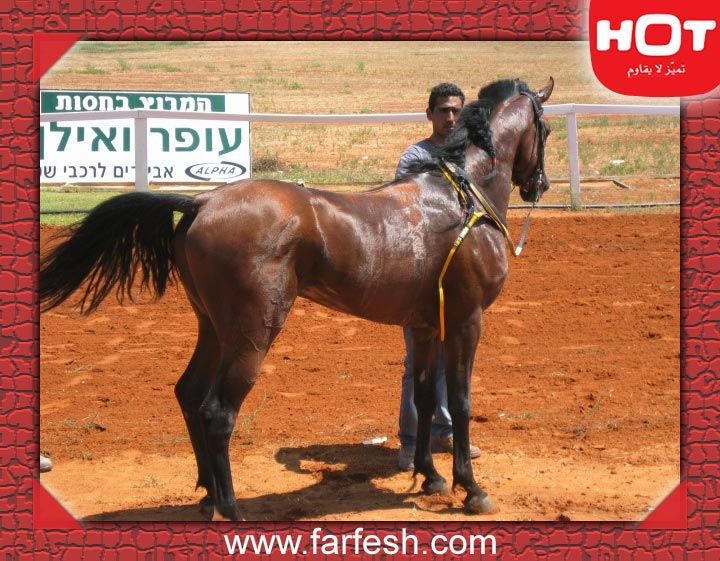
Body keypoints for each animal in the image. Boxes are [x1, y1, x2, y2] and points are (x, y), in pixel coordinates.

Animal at [40, 77, 554, 520]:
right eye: (546, 128)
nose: (541, 184)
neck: (460, 200)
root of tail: (202, 202)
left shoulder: (426, 325)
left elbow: (426, 397)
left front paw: (430, 475)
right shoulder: (467, 320)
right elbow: (462, 400)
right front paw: (472, 488)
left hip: (214, 329)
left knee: (188, 393)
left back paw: (207, 494)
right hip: (252, 334)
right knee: (217, 412)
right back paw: (231, 509)